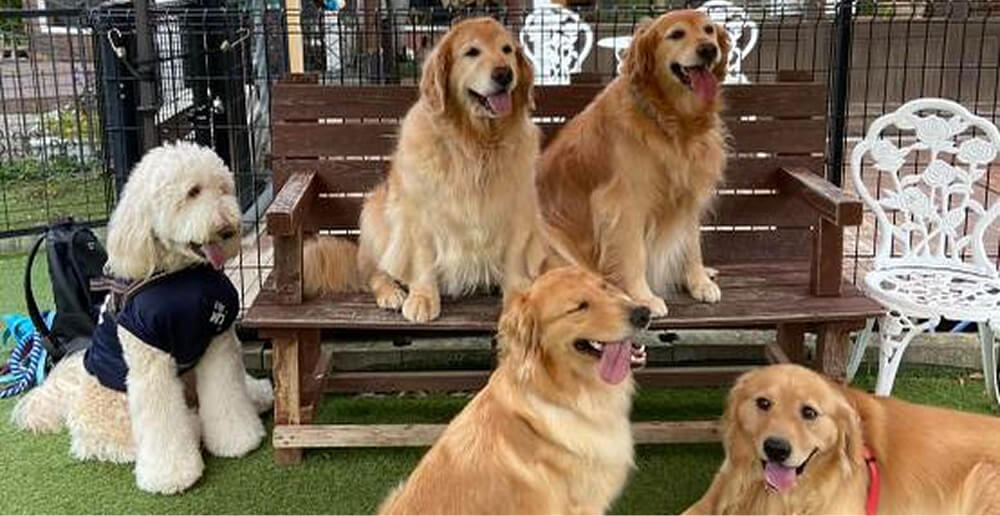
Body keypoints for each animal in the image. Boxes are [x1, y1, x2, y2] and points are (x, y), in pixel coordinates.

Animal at [11, 142, 273, 495]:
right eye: (193, 192)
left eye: (223, 189)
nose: (228, 229)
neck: (179, 274)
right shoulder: (150, 361)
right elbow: (163, 420)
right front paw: (172, 474)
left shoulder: (217, 340)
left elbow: (227, 394)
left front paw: (238, 439)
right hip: (116, 415)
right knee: (151, 433)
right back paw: (192, 426)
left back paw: (256, 396)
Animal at [303, 17, 547, 323]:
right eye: (472, 52)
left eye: (508, 50)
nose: (504, 74)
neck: (474, 143)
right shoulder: (418, 212)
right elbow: (422, 257)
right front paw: (422, 298)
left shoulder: (518, 209)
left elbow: (515, 258)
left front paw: (518, 300)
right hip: (375, 210)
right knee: (374, 272)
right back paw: (391, 292)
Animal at [536, 9, 731, 317]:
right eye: (676, 34)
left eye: (709, 30)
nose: (709, 49)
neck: (671, 122)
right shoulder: (624, 203)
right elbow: (634, 254)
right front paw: (645, 297)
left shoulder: (688, 194)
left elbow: (691, 245)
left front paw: (699, 281)